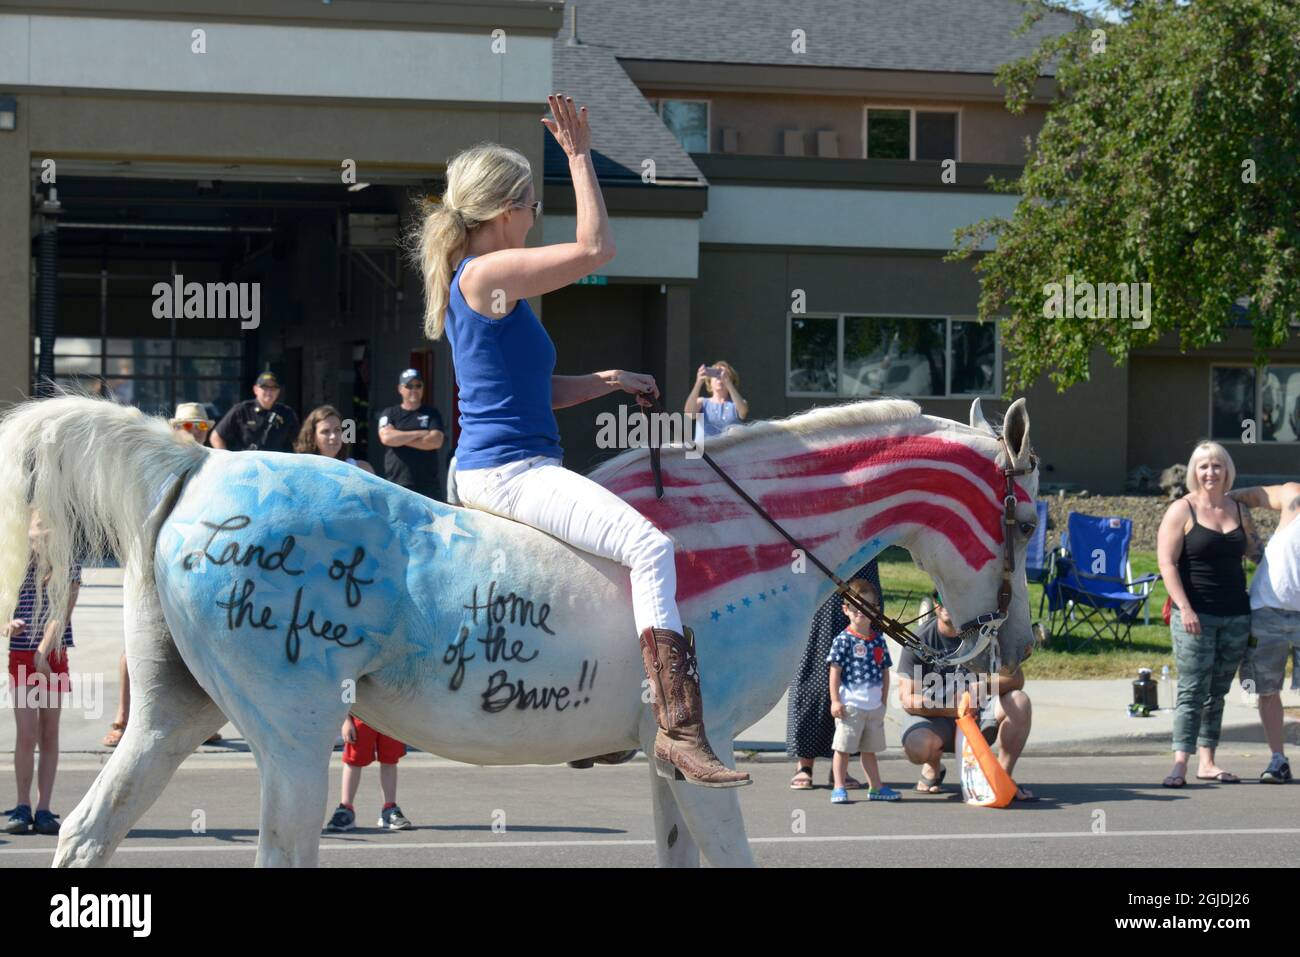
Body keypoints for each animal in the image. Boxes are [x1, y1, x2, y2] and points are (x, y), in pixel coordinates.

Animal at [0, 395, 1040, 868]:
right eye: (1028, 519)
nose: (1017, 645)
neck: (747, 530)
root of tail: (198, 466)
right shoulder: (704, 759)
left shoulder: (665, 760)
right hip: (292, 737)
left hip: (173, 714)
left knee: (89, 833)